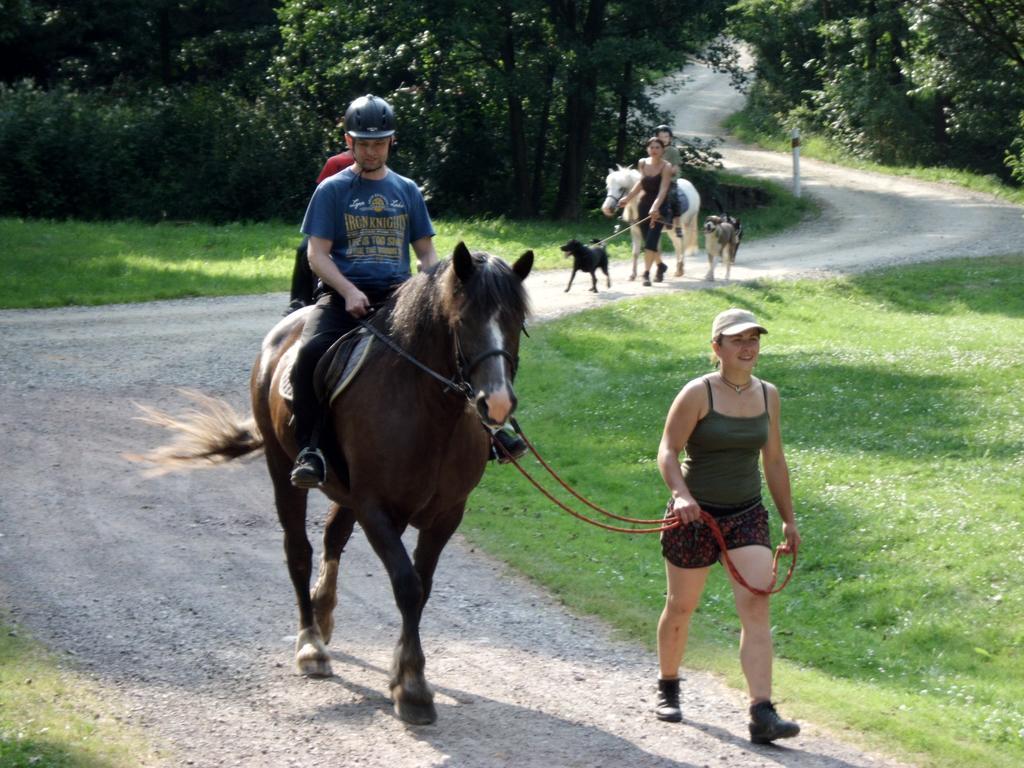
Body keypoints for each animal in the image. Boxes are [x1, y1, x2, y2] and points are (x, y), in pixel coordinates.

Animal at [143, 244, 536, 729]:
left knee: (332, 537)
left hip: (347, 494)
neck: (425, 409)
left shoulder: (446, 514)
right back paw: (311, 644)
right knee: (299, 551)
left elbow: (421, 588)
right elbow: (407, 585)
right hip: (286, 473)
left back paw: (323, 614)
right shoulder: (377, 509)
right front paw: (412, 687)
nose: (496, 403)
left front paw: (402, 673)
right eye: (463, 320)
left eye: (516, 320)